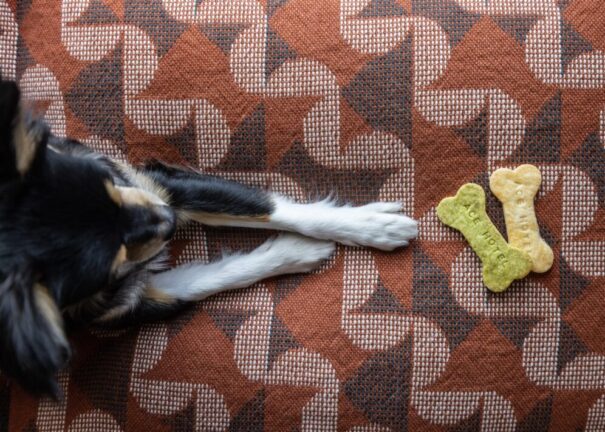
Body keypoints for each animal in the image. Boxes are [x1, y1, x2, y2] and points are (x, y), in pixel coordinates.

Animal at [0, 78, 416, 398]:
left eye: (111, 184)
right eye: (111, 263)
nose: (171, 222)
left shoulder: (158, 184)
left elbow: (271, 209)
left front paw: (368, 226)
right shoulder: (129, 302)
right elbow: (211, 279)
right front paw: (296, 250)